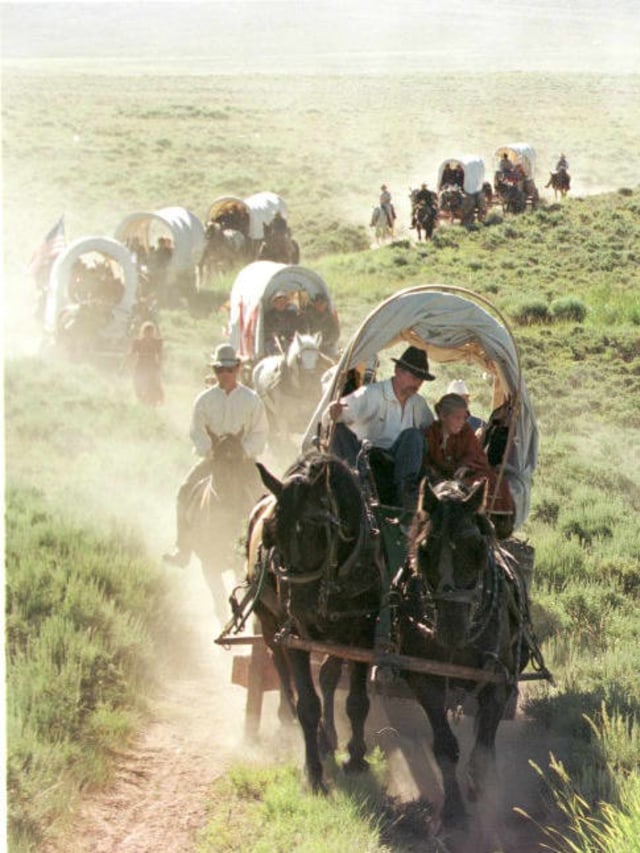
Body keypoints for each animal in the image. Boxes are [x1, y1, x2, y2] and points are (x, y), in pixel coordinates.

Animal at [246, 452, 384, 792]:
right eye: (270, 534)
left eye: (314, 529)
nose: (298, 605)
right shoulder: (296, 634)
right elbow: (308, 704)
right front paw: (313, 772)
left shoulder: (361, 631)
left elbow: (356, 699)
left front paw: (356, 757)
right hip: (269, 623)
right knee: (281, 667)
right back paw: (297, 722)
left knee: (327, 675)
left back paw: (330, 736)